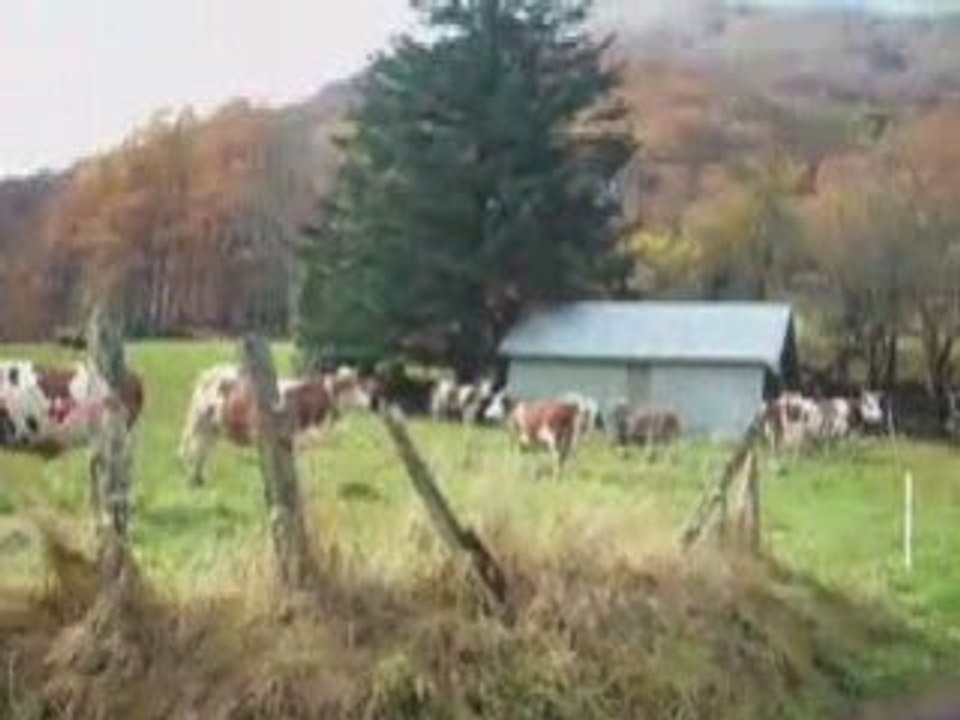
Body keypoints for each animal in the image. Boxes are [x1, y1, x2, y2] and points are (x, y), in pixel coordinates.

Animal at [179, 364, 373, 486]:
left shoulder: (297, 442)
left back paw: (198, 479)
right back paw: (192, 480)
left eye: (359, 384)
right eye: (348, 386)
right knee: (195, 449)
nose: (369, 402)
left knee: (203, 450)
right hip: (200, 421)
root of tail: (213, 371)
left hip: (214, 427)